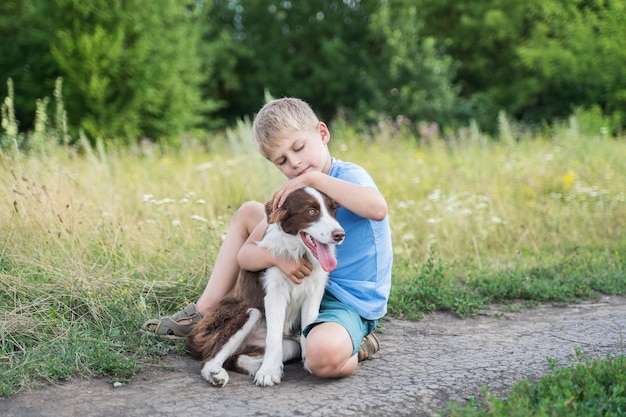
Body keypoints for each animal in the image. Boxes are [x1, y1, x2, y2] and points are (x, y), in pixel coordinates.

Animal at [185, 186, 344, 386]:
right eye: (311, 211)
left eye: (333, 210)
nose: (340, 235)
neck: (299, 253)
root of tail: (193, 333)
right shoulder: (275, 294)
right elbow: (273, 337)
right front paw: (268, 372)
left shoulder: (314, 292)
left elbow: (308, 327)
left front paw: (307, 362)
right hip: (247, 312)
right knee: (208, 360)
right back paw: (219, 374)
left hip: (287, 345)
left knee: (235, 357)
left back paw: (259, 365)